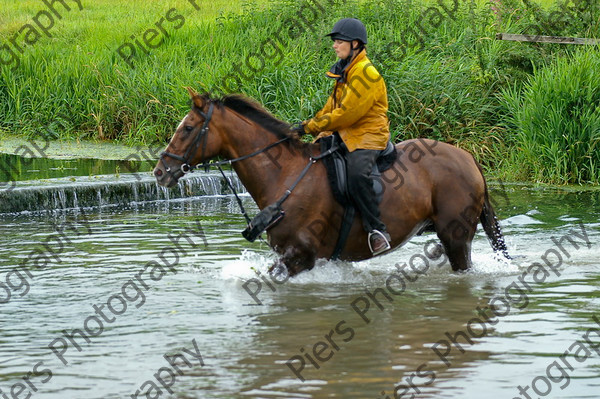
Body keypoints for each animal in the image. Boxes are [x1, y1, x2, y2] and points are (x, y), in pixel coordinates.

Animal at [152, 90, 508, 278]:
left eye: (187, 128)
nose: (160, 171)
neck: (285, 175)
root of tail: (468, 158)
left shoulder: (299, 256)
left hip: (456, 237)